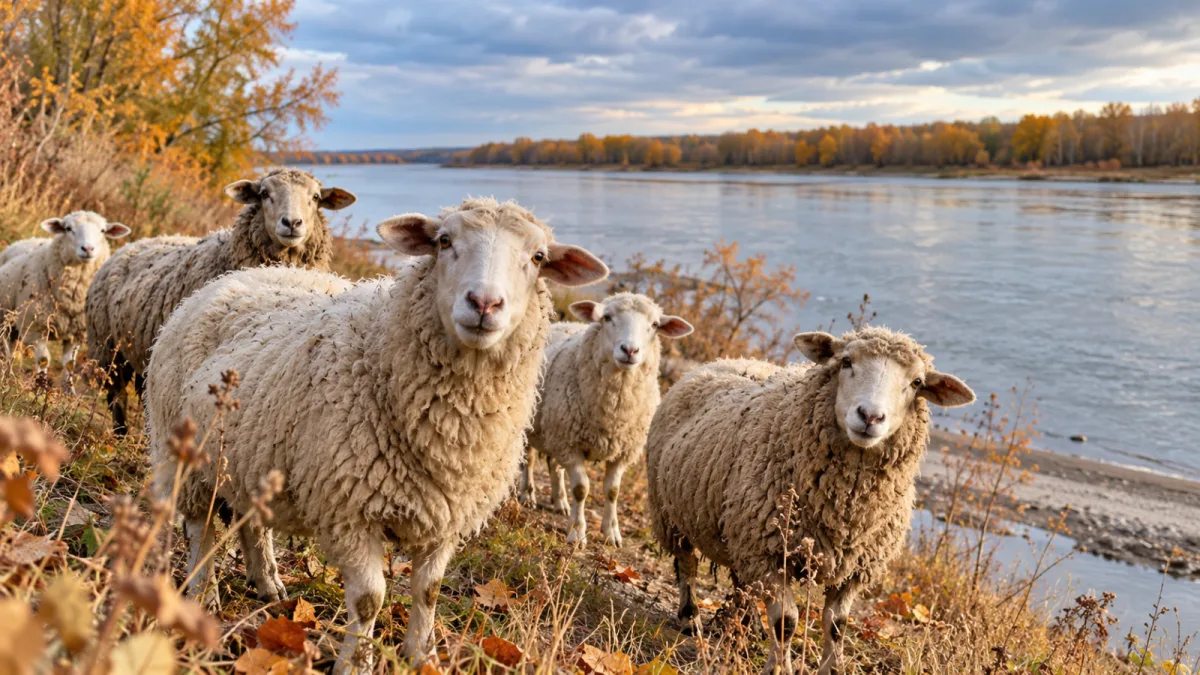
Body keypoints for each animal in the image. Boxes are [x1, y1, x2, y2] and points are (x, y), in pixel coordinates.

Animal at [0, 212, 130, 389]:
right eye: (68, 229)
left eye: (103, 230)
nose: (87, 249)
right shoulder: (35, 329)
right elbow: (43, 360)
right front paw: (41, 388)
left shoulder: (76, 334)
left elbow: (69, 364)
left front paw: (69, 390)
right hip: (6, 318)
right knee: (7, 350)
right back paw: (6, 376)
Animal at [85, 167, 355, 434]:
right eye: (264, 193)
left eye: (316, 197)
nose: (292, 223)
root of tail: (134, 243)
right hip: (107, 349)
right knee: (117, 397)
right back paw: (121, 434)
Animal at [145, 197, 608, 673]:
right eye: (444, 241)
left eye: (538, 257)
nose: (484, 302)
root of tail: (230, 279)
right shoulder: (350, 510)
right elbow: (369, 599)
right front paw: (357, 662)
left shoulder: (448, 515)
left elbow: (429, 591)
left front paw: (420, 655)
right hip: (182, 452)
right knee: (200, 529)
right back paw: (203, 596)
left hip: (252, 456)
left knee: (253, 522)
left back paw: (268, 584)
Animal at [517, 293, 692, 547]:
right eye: (607, 317)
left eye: (654, 325)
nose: (630, 350)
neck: (613, 412)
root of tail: (561, 323)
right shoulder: (571, 444)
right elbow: (581, 489)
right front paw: (578, 533)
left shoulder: (623, 452)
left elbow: (613, 491)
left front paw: (612, 533)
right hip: (530, 426)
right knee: (528, 460)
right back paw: (528, 494)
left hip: (554, 433)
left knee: (554, 466)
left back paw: (561, 503)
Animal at [645, 327, 975, 674]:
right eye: (846, 361)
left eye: (916, 383)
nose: (870, 417)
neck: (844, 509)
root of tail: (725, 360)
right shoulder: (769, 554)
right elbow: (786, 623)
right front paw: (779, 667)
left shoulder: (853, 567)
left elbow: (837, 625)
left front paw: (831, 668)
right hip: (671, 514)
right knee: (687, 565)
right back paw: (690, 618)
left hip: (736, 530)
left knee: (740, 580)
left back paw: (748, 625)